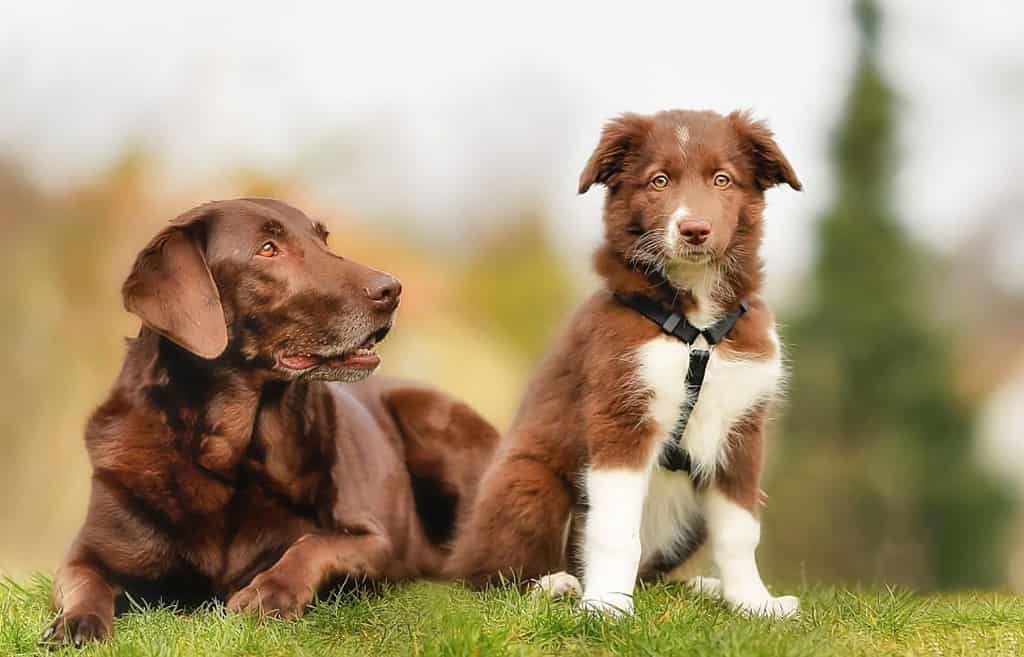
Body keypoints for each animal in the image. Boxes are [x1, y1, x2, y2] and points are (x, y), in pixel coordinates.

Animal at [41, 196, 497, 642]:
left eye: (323, 239)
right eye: (267, 249)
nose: (392, 289)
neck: (230, 457)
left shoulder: (376, 540)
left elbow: (313, 543)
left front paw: (269, 592)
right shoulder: (86, 554)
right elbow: (85, 582)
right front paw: (77, 621)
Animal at [452, 110, 802, 618]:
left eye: (722, 179)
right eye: (659, 181)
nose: (694, 229)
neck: (696, 322)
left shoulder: (741, 430)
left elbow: (739, 530)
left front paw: (753, 603)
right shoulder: (622, 414)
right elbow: (616, 530)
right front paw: (607, 607)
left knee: (656, 572)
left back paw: (702, 588)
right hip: (527, 481)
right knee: (487, 577)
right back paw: (556, 585)